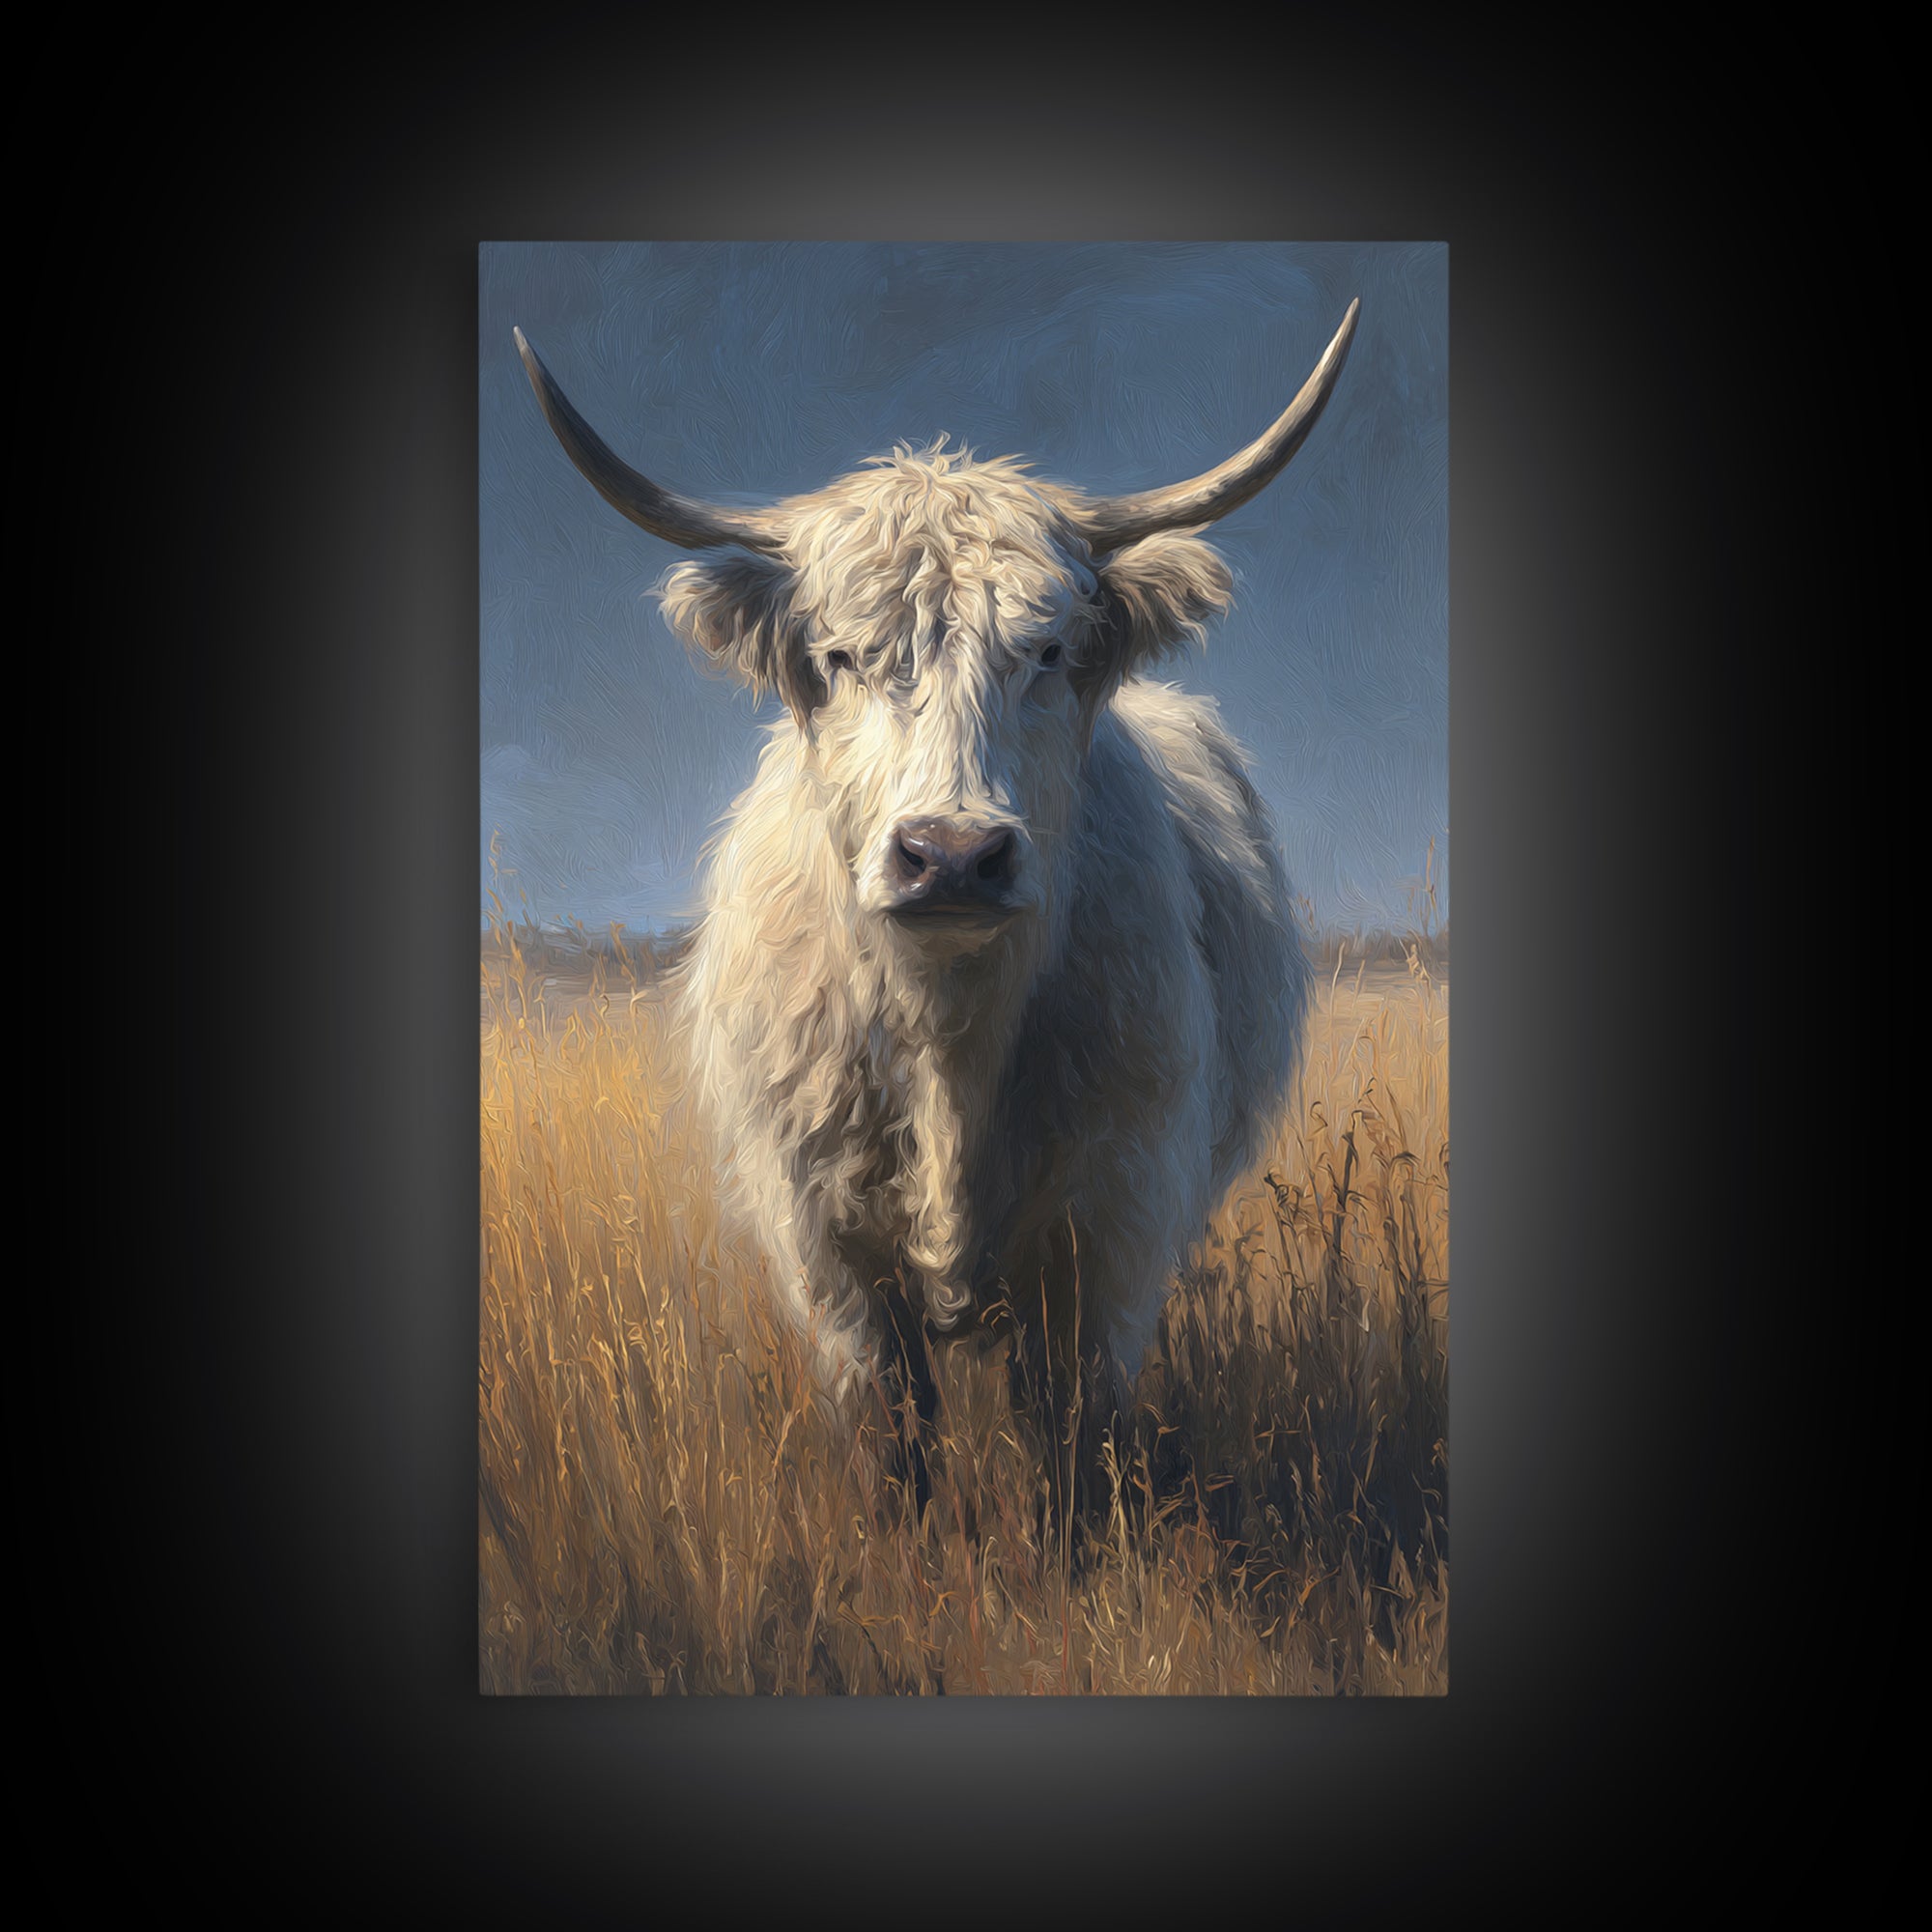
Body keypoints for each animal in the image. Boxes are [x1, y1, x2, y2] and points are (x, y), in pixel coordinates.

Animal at [514, 300, 1358, 1519]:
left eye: (1047, 650)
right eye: (838, 654)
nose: (950, 856)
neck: (947, 1034)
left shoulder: (1109, 1224)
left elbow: (1069, 1434)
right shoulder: (826, 1244)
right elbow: (891, 1434)